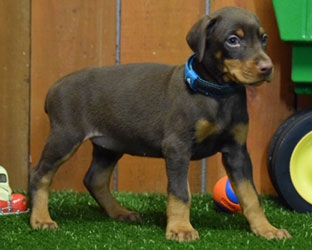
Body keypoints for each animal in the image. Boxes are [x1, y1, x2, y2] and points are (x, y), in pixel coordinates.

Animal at [29, 6, 292, 242]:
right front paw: (180, 229)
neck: (217, 94)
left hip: (110, 144)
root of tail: (55, 87)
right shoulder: (177, 147)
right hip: (66, 136)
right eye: (233, 40)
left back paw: (120, 212)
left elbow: (251, 195)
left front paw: (266, 229)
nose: (267, 68)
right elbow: (180, 192)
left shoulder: (237, 151)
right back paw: (41, 219)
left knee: (95, 179)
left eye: (264, 38)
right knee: (40, 174)